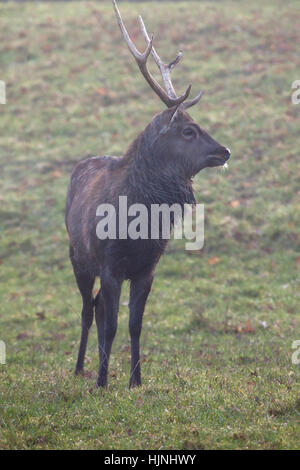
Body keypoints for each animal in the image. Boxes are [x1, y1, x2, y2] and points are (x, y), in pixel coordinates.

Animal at [65, 0, 230, 388]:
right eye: (188, 131)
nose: (225, 151)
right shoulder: (110, 264)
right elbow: (111, 325)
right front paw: (102, 383)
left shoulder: (147, 268)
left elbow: (134, 325)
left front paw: (135, 381)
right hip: (78, 257)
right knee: (87, 310)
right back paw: (80, 369)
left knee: (96, 306)